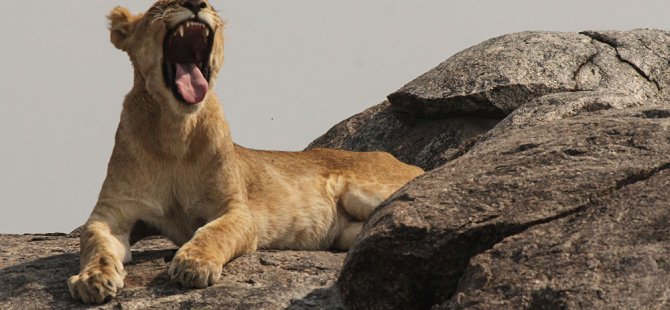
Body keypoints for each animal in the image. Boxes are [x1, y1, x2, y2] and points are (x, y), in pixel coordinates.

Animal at [68, 0, 426, 302]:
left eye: (210, 5)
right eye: (160, 6)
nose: (196, 3)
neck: (175, 131)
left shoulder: (236, 209)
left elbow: (214, 232)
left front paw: (193, 264)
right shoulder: (114, 211)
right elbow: (94, 241)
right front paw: (92, 279)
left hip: (366, 191)